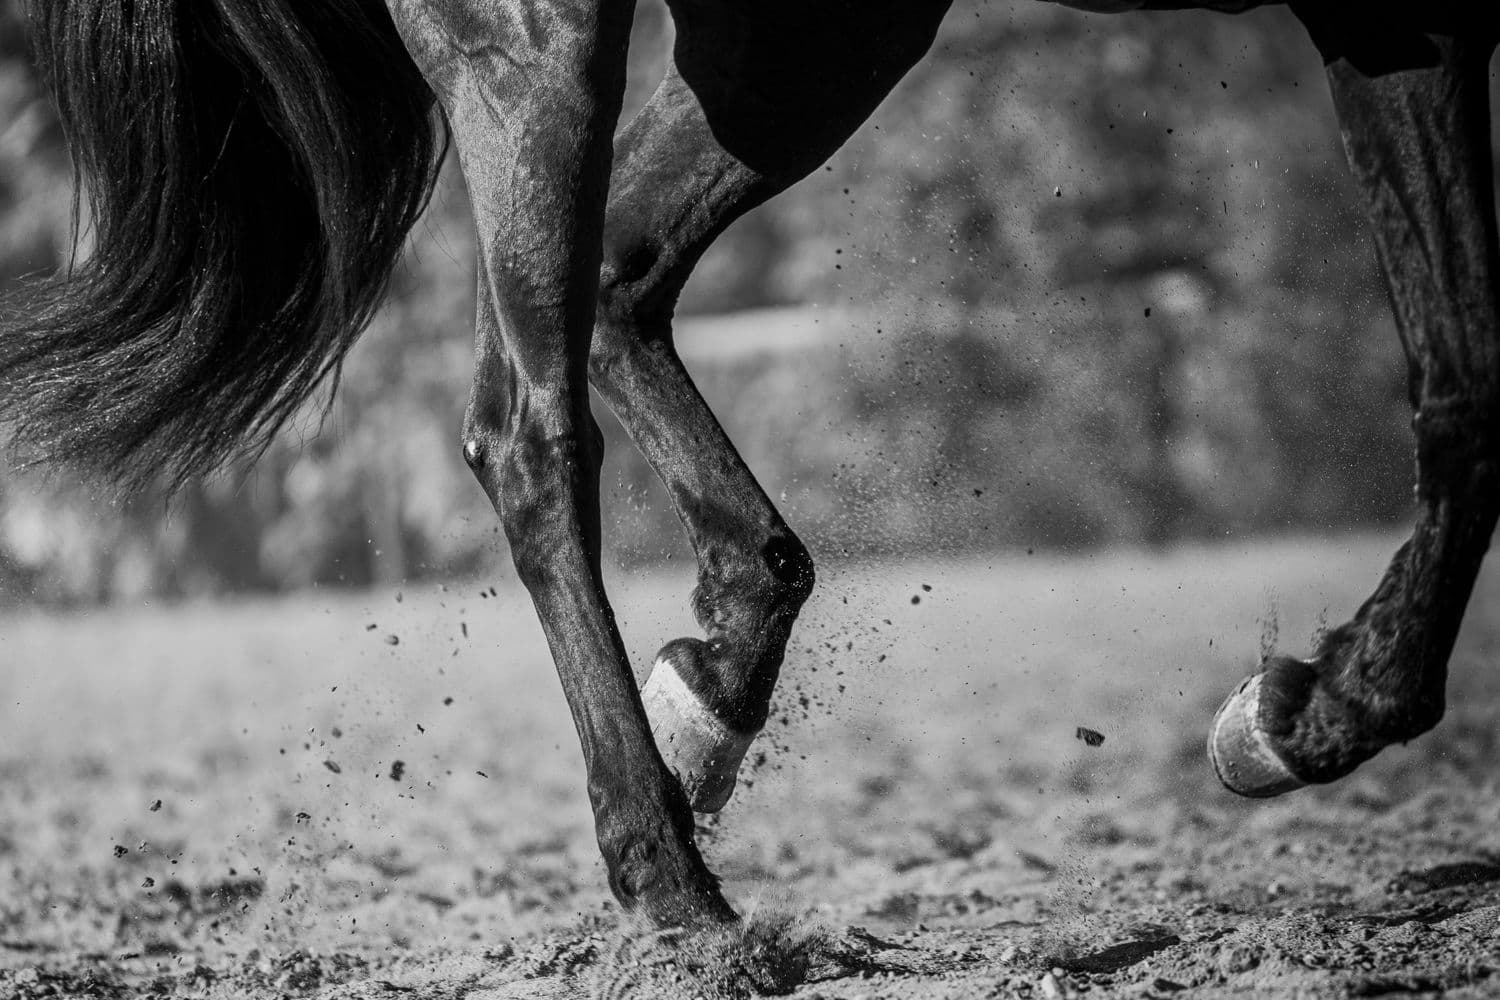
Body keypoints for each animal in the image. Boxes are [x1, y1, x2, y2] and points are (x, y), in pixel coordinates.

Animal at [1, 0, 1495, 928]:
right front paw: (1329, 705)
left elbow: (1470, 374)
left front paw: (1321, 709)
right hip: (559, 44)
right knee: (533, 429)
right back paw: (670, 878)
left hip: (804, 35)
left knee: (621, 284)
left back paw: (710, 698)